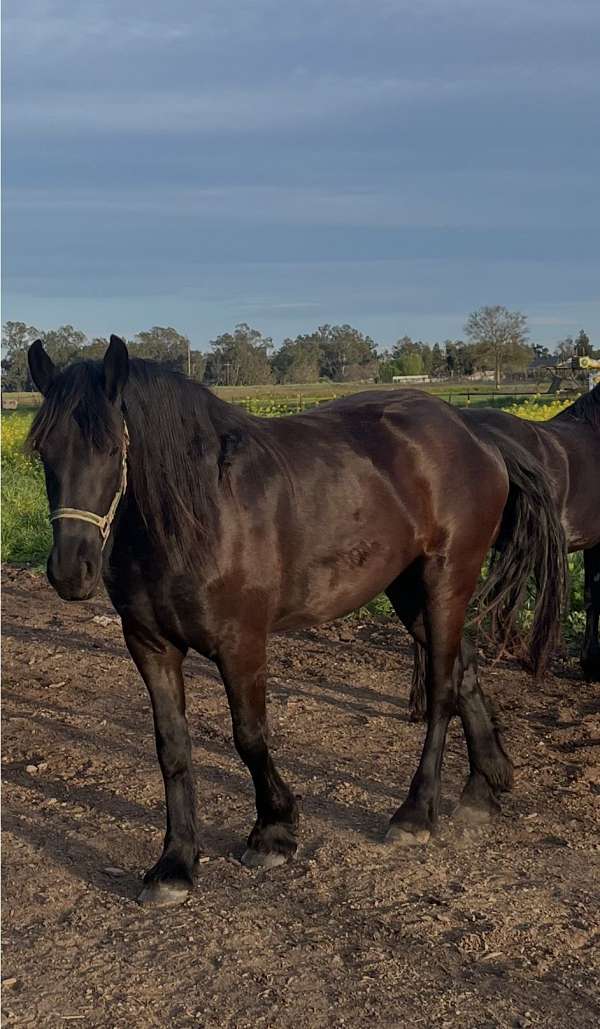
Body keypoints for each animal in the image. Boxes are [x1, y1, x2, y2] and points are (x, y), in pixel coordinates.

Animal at [27, 336, 568, 908]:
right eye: (44, 450)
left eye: (112, 448)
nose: (70, 571)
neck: (201, 512)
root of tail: (473, 431)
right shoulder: (149, 645)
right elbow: (171, 747)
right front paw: (175, 865)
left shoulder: (241, 643)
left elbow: (249, 736)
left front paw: (274, 831)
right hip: (408, 591)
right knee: (464, 671)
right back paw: (484, 787)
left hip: (446, 582)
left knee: (443, 690)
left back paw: (416, 813)